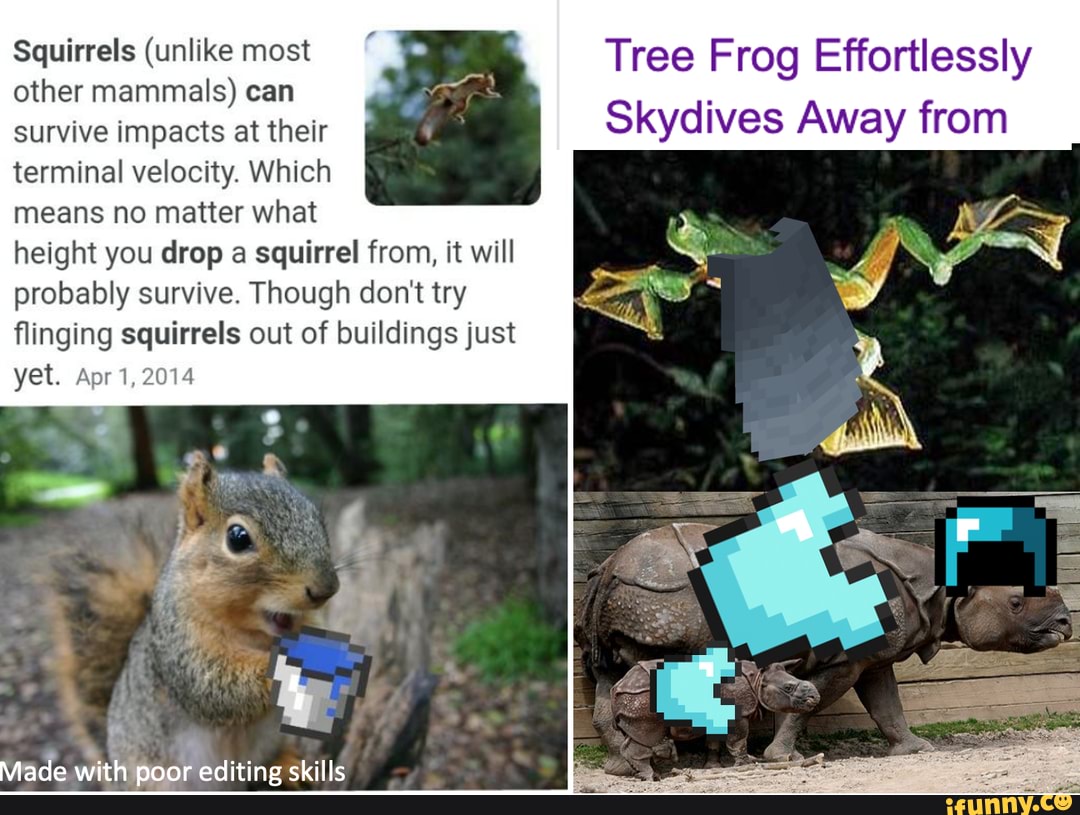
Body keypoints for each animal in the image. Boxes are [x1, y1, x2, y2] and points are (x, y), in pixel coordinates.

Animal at [49, 452, 340, 790]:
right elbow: (213, 686)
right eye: (238, 538)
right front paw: (285, 666)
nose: (326, 589)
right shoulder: (178, 647)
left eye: (317, 518)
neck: (255, 636)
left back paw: (286, 765)